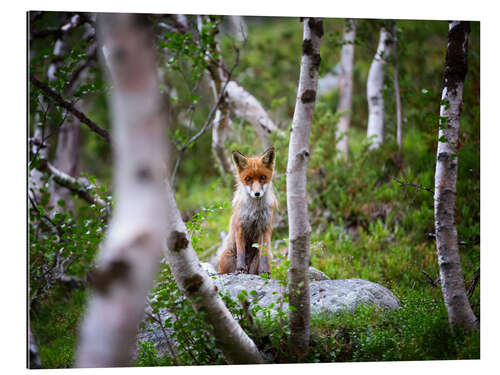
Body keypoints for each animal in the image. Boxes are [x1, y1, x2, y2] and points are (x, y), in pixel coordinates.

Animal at [218, 148, 278, 276]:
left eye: (263, 177)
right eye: (248, 179)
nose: (257, 193)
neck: (255, 211)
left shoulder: (266, 227)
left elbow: (264, 253)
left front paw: (264, 271)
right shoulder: (239, 226)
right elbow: (241, 250)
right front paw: (240, 268)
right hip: (226, 258)